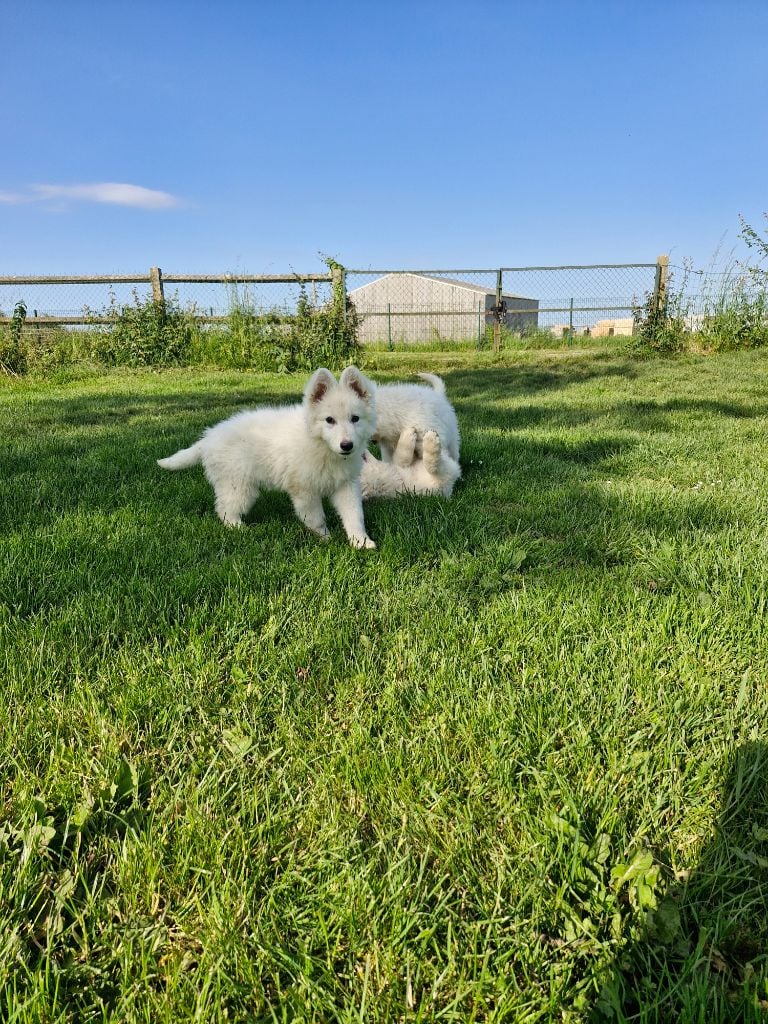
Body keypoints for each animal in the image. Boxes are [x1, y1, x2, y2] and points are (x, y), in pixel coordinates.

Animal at [158, 364, 378, 548]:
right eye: (329, 420)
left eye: (355, 419)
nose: (347, 445)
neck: (322, 446)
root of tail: (208, 438)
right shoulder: (304, 489)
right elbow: (316, 518)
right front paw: (325, 538)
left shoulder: (346, 484)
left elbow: (354, 515)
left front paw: (360, 541)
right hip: (238, 485)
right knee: (225, 509)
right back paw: (238, 528)